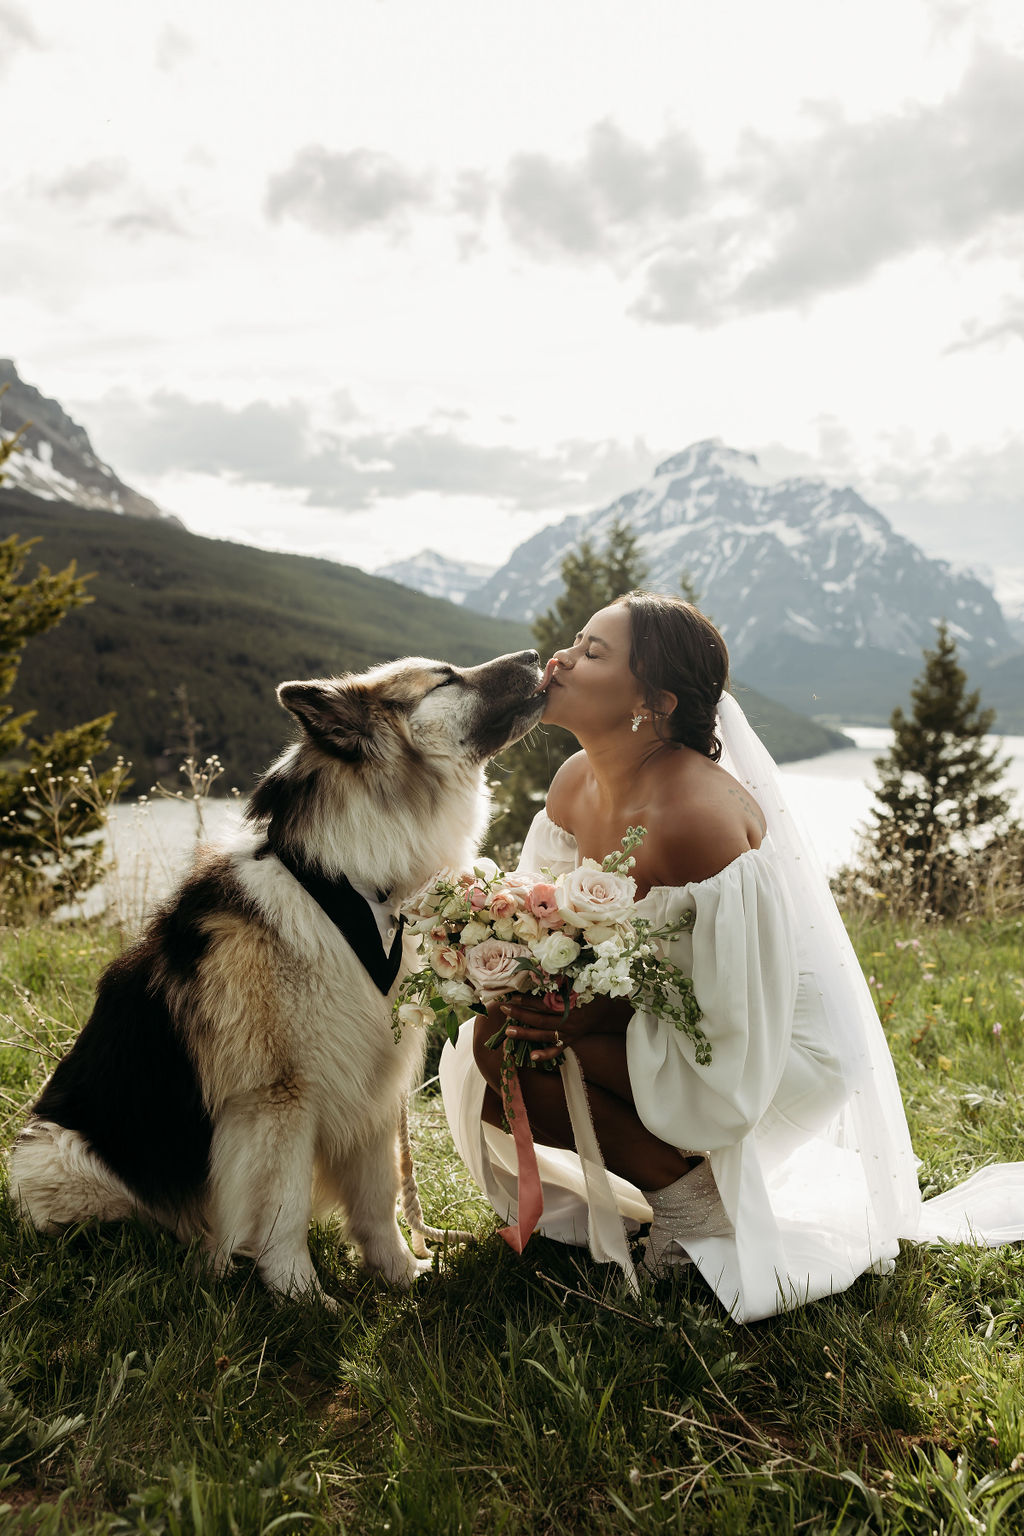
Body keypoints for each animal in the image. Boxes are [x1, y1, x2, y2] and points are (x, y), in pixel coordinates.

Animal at [8, 642, 543, 1302]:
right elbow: (282, 1209)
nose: (536, 653)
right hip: (65, 1156)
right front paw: (301, 1297)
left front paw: (399, 1275)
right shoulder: (277, 1100)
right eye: (445, 679)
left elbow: (380, 1196)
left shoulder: (371, 1087)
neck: (352, 890)